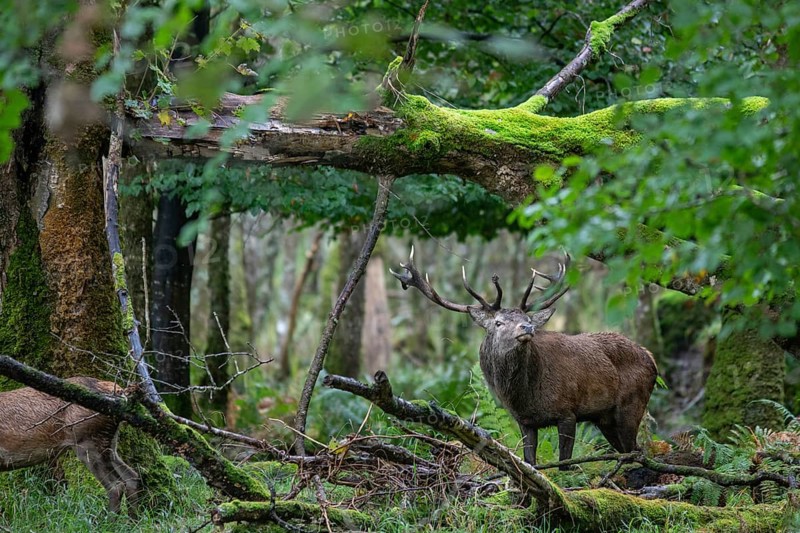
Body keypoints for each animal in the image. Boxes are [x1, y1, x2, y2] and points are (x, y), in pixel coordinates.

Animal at [391, 248, 658, 467]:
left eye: (527, 319)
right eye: (498, 322)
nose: (527, 328)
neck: (525, 395)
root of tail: (651, 358)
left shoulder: (568, 411)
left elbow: (565, 464)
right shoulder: (525, 421)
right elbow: (531, 462)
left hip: (631, 403)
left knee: (637, 451)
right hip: (605, 418)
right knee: (630, 450)